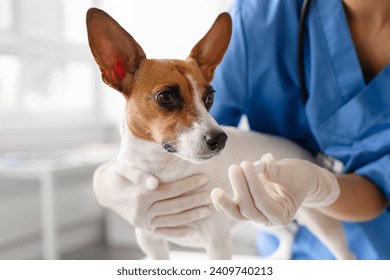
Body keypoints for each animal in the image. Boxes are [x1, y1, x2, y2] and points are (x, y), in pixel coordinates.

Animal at [87, 7, 354, 260]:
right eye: (165, 97)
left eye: (209, 97)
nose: (220, 139)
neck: (163, 167)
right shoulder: (151, 242)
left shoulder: (217, 242)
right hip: (262, 213)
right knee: (289, 231)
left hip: (317, 219)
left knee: (341, 251)